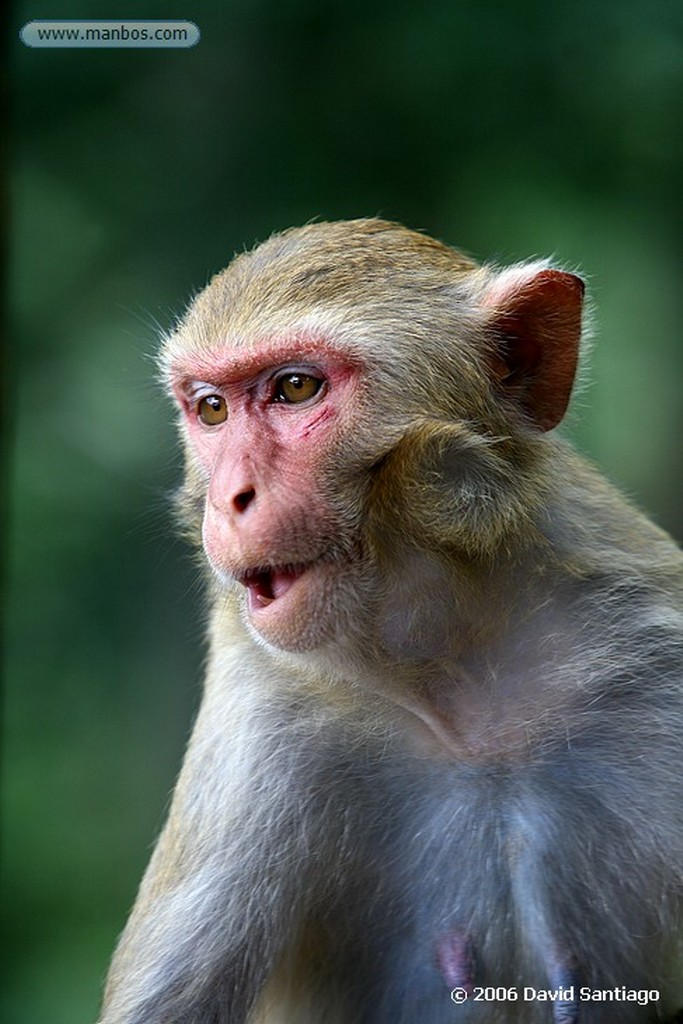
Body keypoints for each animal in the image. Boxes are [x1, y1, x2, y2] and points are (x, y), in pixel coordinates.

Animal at [97, 220, 683, 1019]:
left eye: (295, 388)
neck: (455, 668)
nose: (230, 498)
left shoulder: (656, 662)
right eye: (211, 409)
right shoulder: (264, 717)